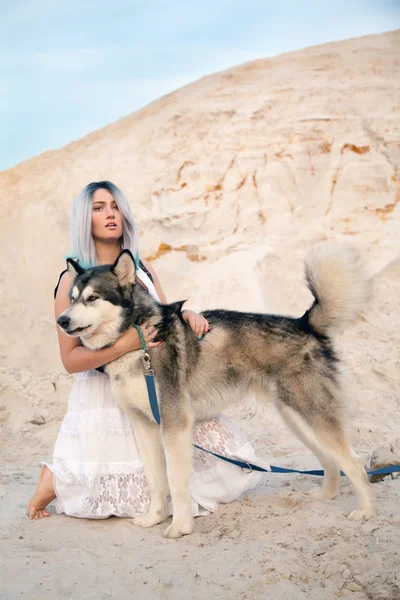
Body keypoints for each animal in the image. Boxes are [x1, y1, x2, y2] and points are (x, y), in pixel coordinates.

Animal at [57, 245, 378, 540]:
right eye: (72, 298)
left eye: (92, 298)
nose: (62, 320)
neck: (139, 341)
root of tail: (304, 323)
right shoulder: (144, 426)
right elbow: (156, 480)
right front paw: (154, 517)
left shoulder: (174, 425)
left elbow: (175, 481)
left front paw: (181, 526)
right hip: (298, 419)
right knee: (330, 459)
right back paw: (325, 497)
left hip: (313, 413)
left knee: (353, 461)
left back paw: (366, 511)